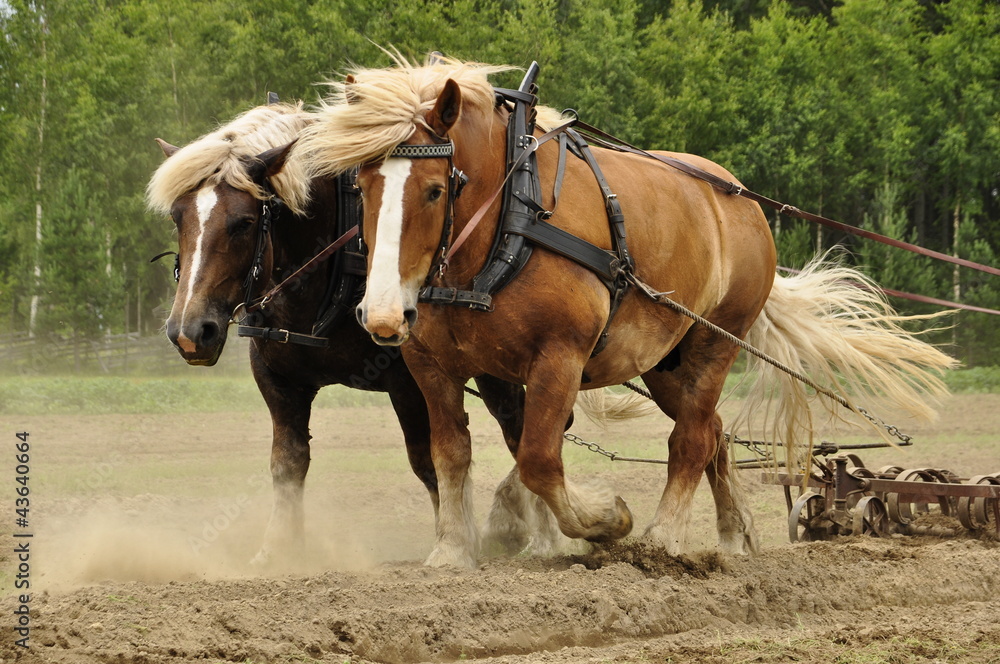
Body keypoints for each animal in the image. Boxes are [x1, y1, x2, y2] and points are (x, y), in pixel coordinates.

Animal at [146, 100, 564, 564]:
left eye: (242, 222)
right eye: (177, 217)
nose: (189, 331)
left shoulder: (408, 381)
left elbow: (427, 462)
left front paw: (455, 540)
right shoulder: (277, 379)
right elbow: (288, 462)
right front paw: (277, 550)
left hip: (493, 367)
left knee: (519, 430)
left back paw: (537, 533)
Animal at [300, 55, 956, 572]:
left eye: (436, 189)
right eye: (361, 184)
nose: (383, 315)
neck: (505, 227)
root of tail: (738, 196)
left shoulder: (559, 358)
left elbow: (539, 459)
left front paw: (607, 521)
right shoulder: (431, 365)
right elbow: (450, 455)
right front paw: (452, 552)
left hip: (717, 341)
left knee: (690, 438)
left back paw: (663, 541)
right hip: (666, 361)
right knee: (713, 431)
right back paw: (734, 536)